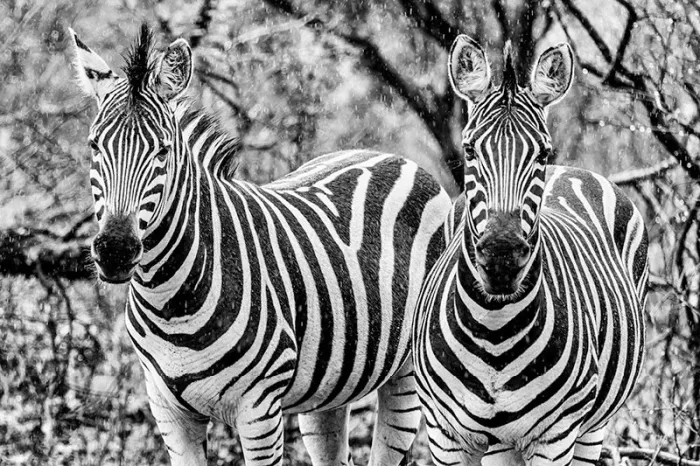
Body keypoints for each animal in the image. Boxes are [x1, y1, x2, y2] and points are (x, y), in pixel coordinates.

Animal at [69, 25, 452, 466]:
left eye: (163, 151)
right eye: (94, 146)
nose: (115, 251)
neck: (170, 301)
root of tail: (390, 155)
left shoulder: (259, 411)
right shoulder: (168, 412)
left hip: (408, 375)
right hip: (330, 387)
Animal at [413, 35, 648, 466]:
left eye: (542, 153)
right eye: (469, 151)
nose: (502, 258)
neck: (493, 329)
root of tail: (570, 171)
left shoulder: (556, 437)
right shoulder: (443, 434)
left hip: (592, 427)